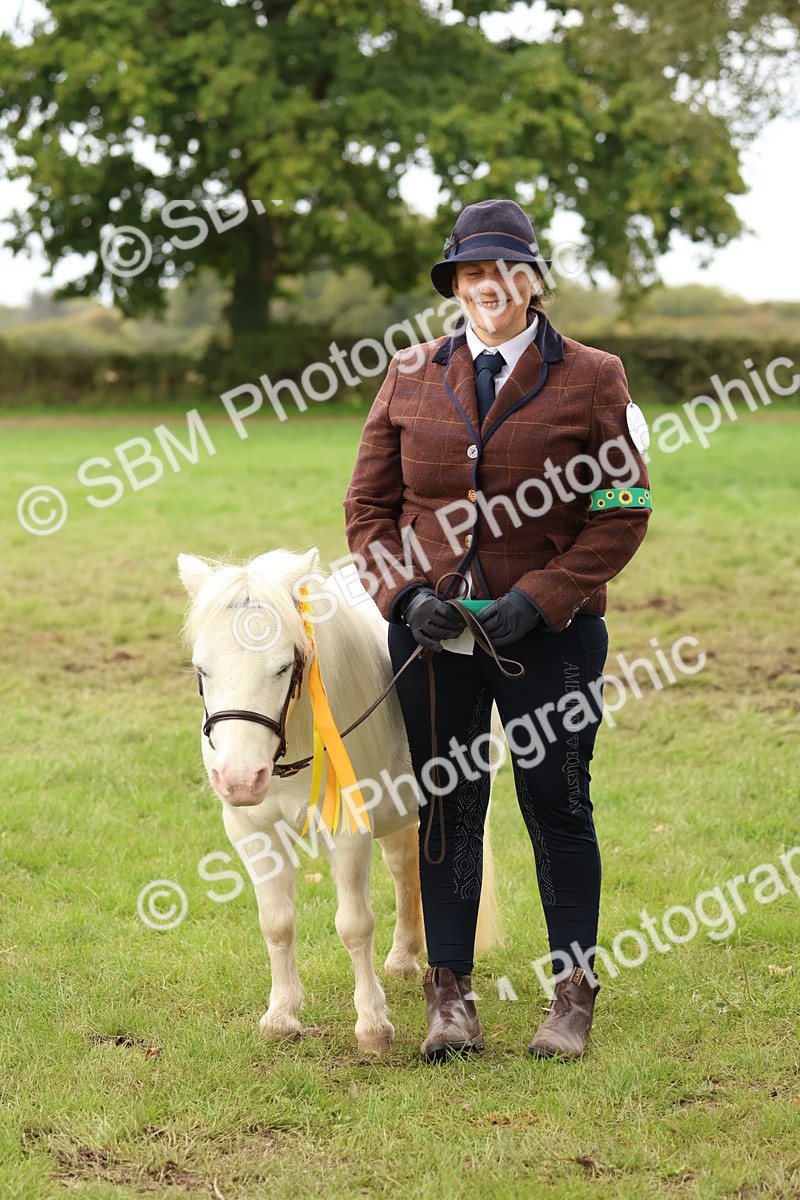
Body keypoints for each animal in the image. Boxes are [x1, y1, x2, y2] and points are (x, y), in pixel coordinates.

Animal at [178, 547, 502, 1054]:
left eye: (282, 667)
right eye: (201, 669)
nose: (239, 779)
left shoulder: (350, 830)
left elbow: (354, 924)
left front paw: (372, 1026)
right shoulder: (254, 831)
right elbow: (276, 923)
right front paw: (281, 1015)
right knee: (405, 870)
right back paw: (403, 958)